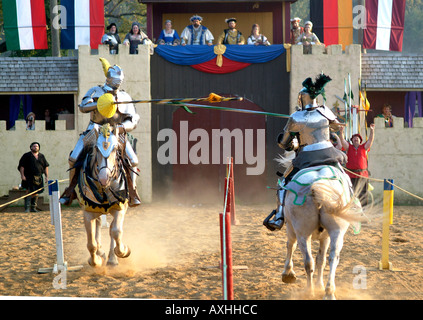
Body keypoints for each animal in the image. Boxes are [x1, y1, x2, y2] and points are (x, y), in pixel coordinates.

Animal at [278, 162, 364, 300]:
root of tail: (317, 184)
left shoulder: (291, 229)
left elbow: (291, 246)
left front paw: (288, 273)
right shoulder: (326, 237)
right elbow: (321, 260)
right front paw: (320, 285)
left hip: (302, 234)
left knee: (308, 261)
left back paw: (309, 291)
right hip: (336, 232)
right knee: (333, 257)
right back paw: (329, 292)